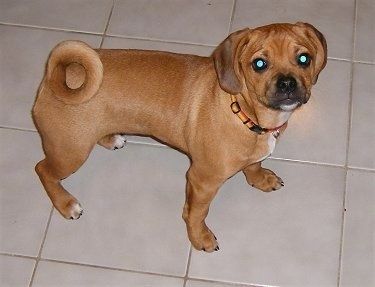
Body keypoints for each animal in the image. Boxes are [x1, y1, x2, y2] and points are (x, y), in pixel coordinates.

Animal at [33, 22, 326, 252]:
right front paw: (200, 238)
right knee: (42, 169)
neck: (242, 111)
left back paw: (110, 138)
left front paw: (260, 178)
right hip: (70, 152)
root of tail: (55, 75)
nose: (287, 83)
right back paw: (65, 204)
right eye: (259, 64)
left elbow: (254, 164)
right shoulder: (201, 180)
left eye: (304, 59)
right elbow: (196, 213)